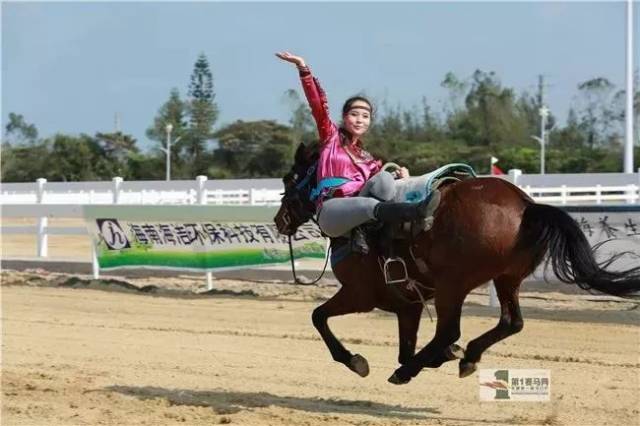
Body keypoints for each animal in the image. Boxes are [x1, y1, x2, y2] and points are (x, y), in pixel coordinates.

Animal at [276, 144, 640, 386]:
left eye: (290, 177)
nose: (280, 219)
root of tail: (527, 206)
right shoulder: (408, 306)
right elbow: (405, 346)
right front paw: (444, 356)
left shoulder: (360, 294)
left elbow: (318, 316)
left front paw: (355, 360)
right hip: (506, 279)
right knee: (511, 322)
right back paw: (466, 356)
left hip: (453, 285)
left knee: (450, 330)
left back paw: (410, 371)